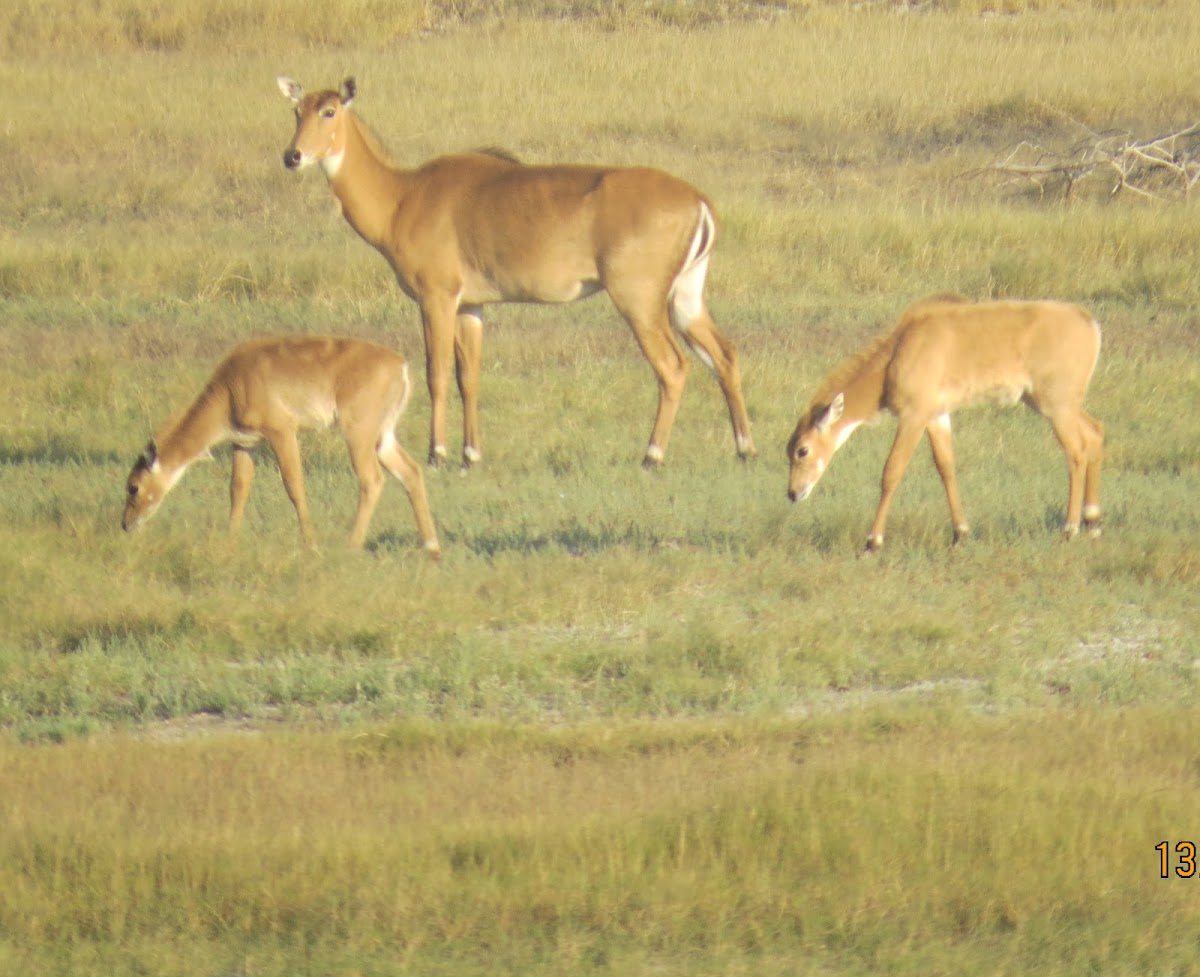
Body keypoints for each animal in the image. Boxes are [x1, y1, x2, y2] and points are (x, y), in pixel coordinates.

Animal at [123, 336, 441, 559]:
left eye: (133, 486)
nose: (126, 524)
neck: (231, 386)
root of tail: (400, 366)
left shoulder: (282, 433)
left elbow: (294, 485)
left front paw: (311, 544)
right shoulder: (244, 443)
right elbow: (238, 489)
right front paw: (230, 541)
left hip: (358, 435)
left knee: (371, 480)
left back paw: (350, 545)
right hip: (383, 438)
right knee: (411, 472)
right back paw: (431, 546)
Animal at [787, 294, 1104, 554]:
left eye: (802, 450)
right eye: (788, 449)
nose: (792, 493)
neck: (899, 351)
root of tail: (1089, 323)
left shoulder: (913, 415)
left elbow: (892, 471)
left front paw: (872, 542)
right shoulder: (937, 416)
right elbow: (946, 467)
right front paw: (960, 534)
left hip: (1056, 406)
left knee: (1076, 451)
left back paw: (1070, 529)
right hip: (1056, 404)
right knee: (1094, 434)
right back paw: (1092, 522)